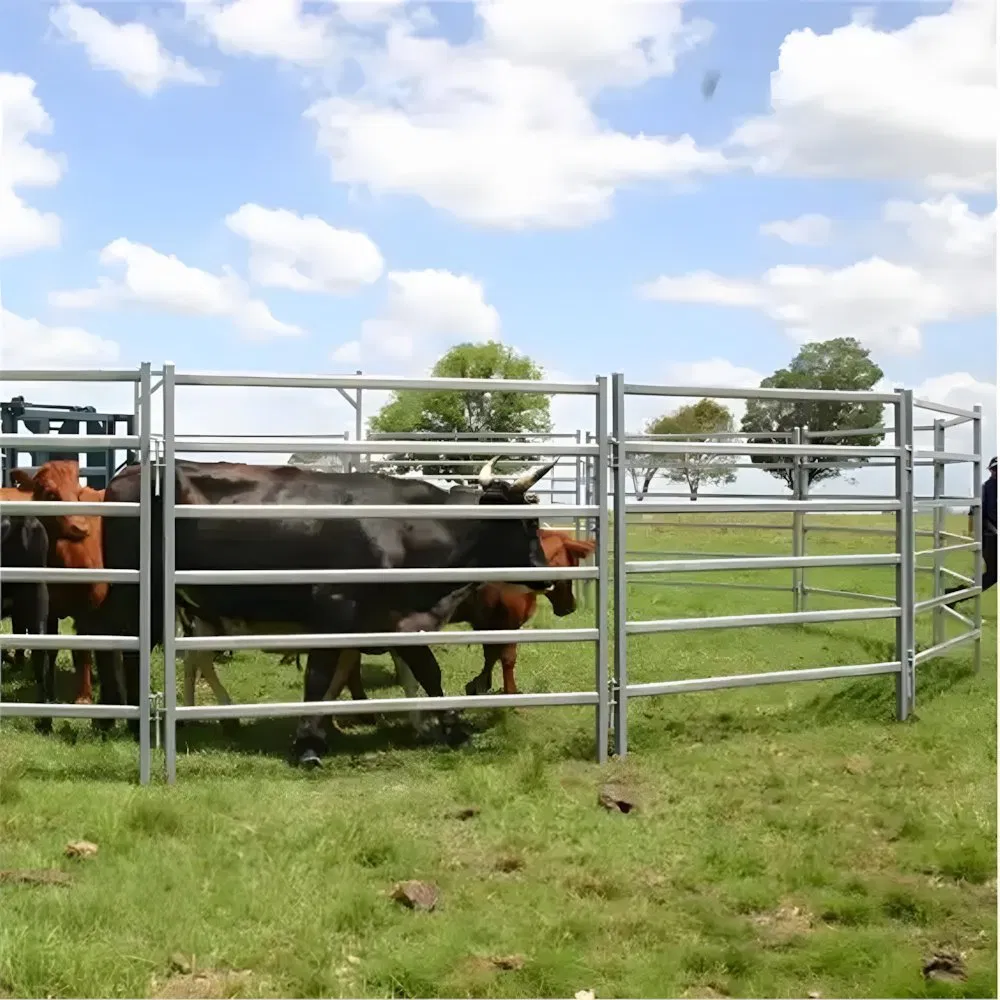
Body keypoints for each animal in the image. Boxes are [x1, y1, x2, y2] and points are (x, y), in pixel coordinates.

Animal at [10, 462, 112, 706]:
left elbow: (83, 652)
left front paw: (83, 696)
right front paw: (50, 693)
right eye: (50, 494)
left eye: (78, 493)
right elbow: (51, 649)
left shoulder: (87, 609)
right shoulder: (47, 611)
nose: (81, 527)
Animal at [94, 456, 556, 767]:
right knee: (116, 641)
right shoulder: (333, 612)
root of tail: (132, 471)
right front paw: (308, 745)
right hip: (132, 590)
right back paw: (116, 720)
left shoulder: (396, 621)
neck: (403, 530)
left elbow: (428, 672)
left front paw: (453, 729)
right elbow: (318, 678)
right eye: (529, 523)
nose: (547, 576)